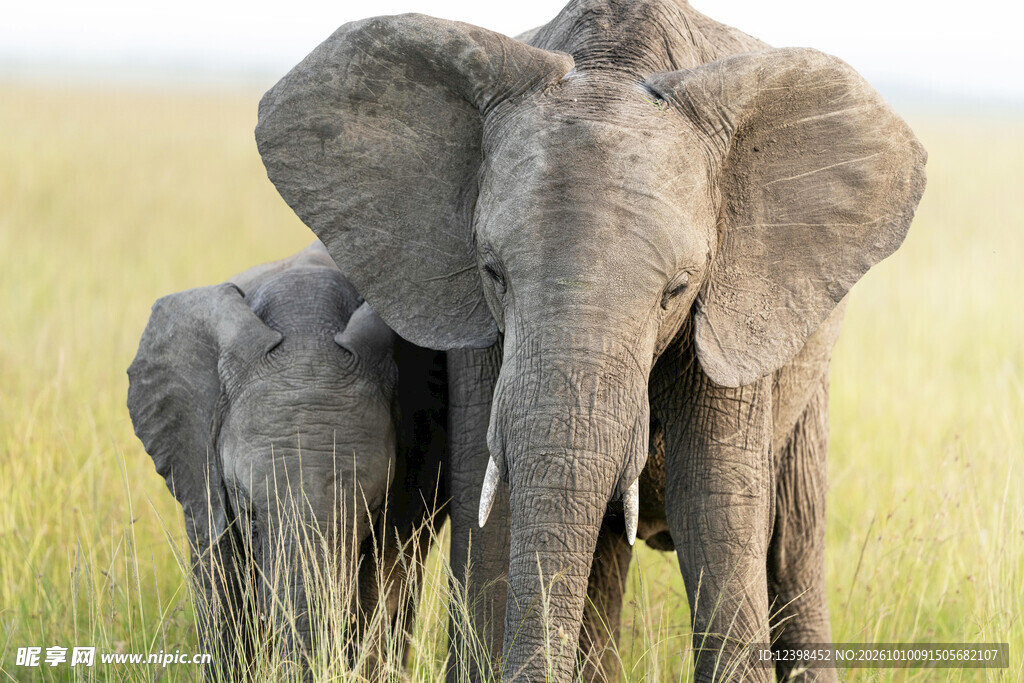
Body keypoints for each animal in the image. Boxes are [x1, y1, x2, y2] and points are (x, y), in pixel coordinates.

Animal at [127, 242, 448, 676]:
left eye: (372, 513)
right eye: (249, 515)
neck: (306, 315)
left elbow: (376, 598)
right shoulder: (199, 470)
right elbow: (222, 604)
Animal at [254, 0, 927, 680]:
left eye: (677, 290)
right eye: (492, 272)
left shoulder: (735, 304)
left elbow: (715, 510)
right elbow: (489, 505)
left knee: (792, 545)